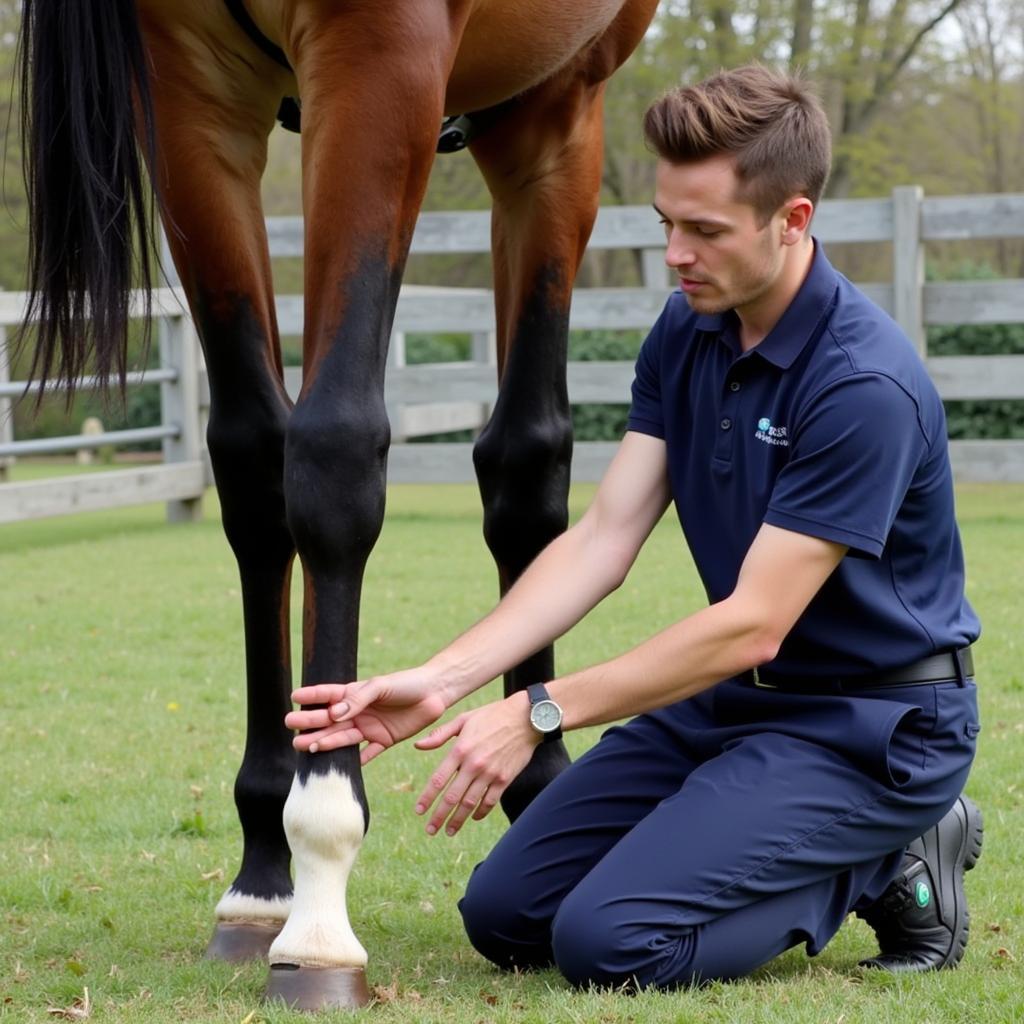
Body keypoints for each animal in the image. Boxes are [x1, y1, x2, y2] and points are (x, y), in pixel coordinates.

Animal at [22, 0, 655, 1007]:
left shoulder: (411, 65)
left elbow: (342, 452)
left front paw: (320, 897)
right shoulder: (189, 94)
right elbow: (258, 463)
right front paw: (267, 876)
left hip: (543, 117)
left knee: (524, 460)